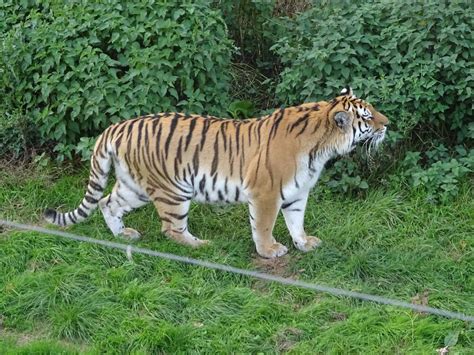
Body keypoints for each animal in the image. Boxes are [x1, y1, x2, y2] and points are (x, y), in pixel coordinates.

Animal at [43, 86, 388, 258]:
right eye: (367, 117)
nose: (388, 124)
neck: (322, 147)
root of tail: (116, 127)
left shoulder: (297, 192)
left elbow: (296, 222)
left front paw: (304, 244)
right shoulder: (265, 193)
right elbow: (264, 226)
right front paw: (269, 251)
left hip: (135, 186)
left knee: (106, 203)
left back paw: (124, 234)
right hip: (173, 190)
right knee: (171, 229)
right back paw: (201, 246)